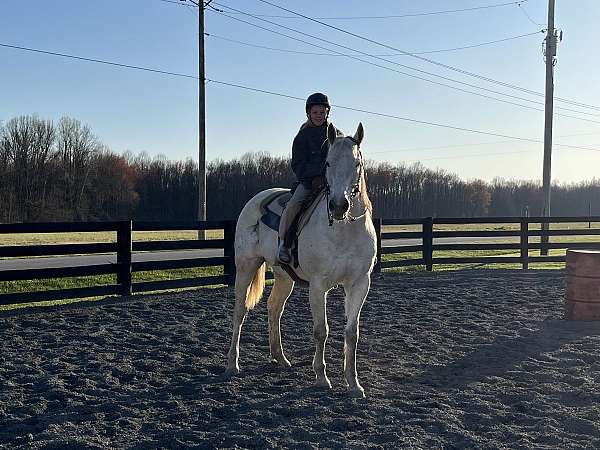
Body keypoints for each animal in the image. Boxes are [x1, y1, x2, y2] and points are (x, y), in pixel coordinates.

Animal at [225, 122, 376, 398]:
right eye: (327, 163)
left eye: (357, 163)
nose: (339, 206)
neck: (344, 231)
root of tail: (256, 199)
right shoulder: (318, 286)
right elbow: (321, 331)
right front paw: (321, 378)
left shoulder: (360, 284)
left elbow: (352, 333)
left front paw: (353, 383)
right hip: (246, 267)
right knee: (239, 312)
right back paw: (233, 363)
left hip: (285, 277)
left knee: (274, 308)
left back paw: (280, 357)